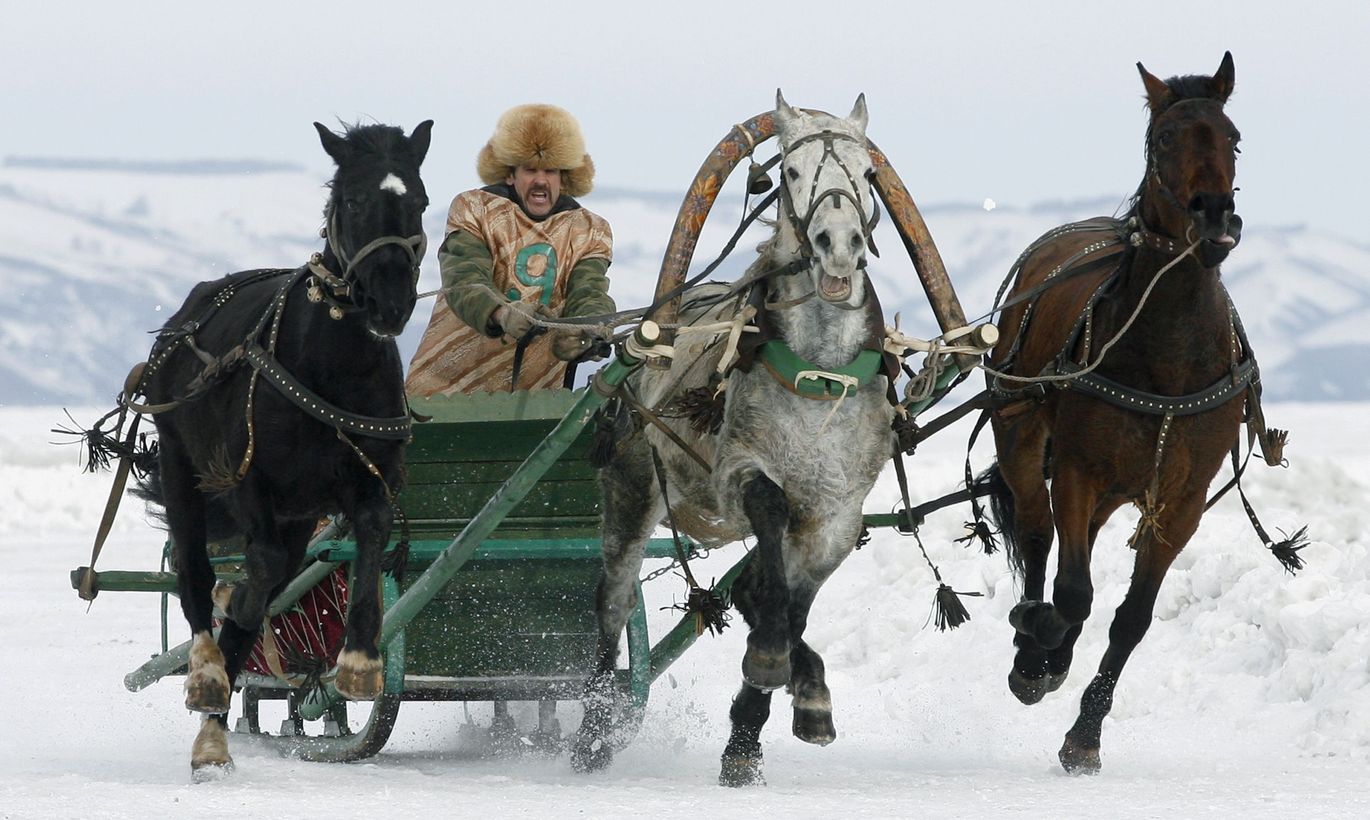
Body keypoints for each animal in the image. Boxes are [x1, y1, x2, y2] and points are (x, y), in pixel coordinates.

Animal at [138, 120, 427, 777]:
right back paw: (208, 673)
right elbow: (256, 570)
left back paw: (217, 720)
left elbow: (371, 531)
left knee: (270, 580)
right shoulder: (247, 479)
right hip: (183, 470)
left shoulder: (368, 476)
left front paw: (360, 660)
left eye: (421, 200)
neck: (332, 363)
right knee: (196, 575)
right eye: (352, 199)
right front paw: (222, 647)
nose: (391, 303)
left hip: (298, 517)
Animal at [569, 93, 898, 788]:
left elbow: (793, 603)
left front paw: (762, 722)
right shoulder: (741, 468)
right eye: (790, 173)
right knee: (612, 603)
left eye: (868, 173)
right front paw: (770, 662)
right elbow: (770, 547)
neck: (819, 379)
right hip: (632, 488)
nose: (838, 246)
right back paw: (593, 731)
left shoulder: (837, 514)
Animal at [986, 53, 1260, 777]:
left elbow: (1131, 618)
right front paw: (1041, 647)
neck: (1166, 348)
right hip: (1020, 431)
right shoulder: (1078, 469)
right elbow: (1072, 592)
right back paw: (1034, 643)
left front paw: (1086, 733)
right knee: (1037, 531)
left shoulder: (1181, 499)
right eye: (1162, 139)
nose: (1215, 218)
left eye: (1233, 139)